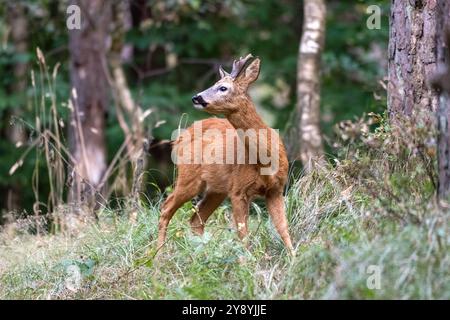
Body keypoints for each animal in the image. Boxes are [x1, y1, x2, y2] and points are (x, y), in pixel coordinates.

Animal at [156, 55, 294, 255]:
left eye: (223, 87)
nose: (196, 97)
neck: (263, 162)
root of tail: (180, 137)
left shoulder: (276, 189)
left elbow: (283, 227)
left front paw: (294, 257)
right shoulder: (238, 189)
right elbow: (243, 233)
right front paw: (248, 260)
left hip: (216, 189)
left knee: (196, 219)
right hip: (189, 177)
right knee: (166, 208)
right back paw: (157, 255)